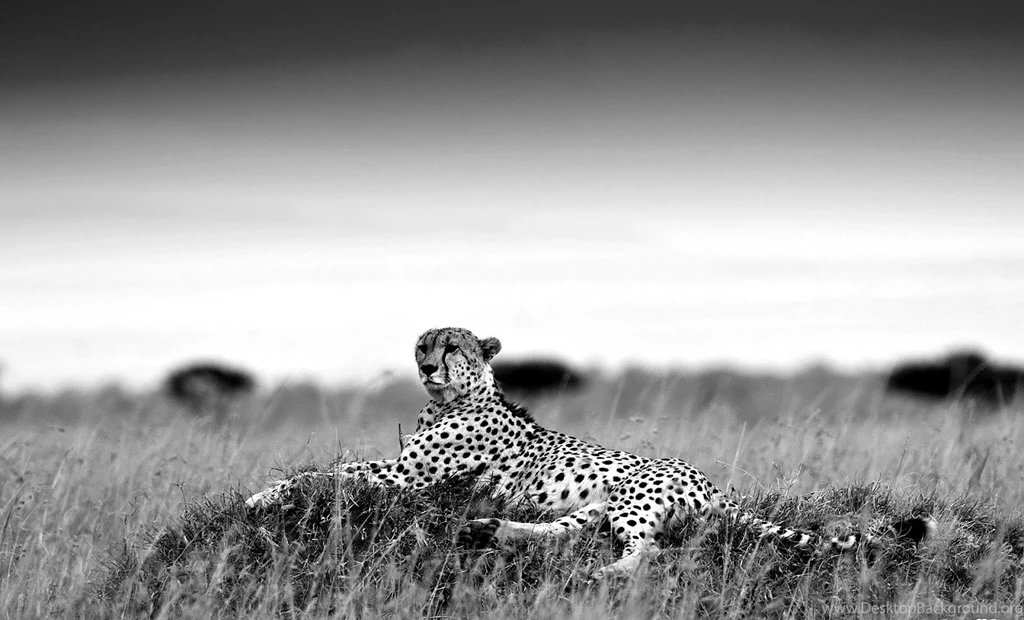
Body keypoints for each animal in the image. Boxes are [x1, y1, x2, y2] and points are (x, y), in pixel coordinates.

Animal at [246, 327, 934, 580]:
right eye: (423, 343)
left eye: (452, 347)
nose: (425, 365)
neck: (449, 400)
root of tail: (713, 484)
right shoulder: (406, 469)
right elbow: (332, 468)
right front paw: (267, 491)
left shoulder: (411, 476)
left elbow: (329, 470)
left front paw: (264, 494)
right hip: (592, 507)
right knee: (567, 532)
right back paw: (494, 530)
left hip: (631, 497)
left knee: (645, 551)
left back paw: (598, 574)